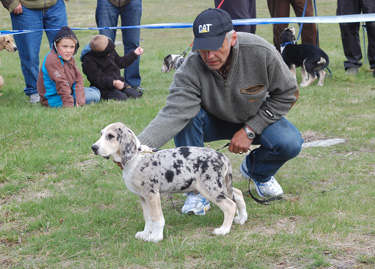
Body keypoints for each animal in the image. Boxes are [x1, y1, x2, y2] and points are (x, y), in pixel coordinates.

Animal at [92, 122, 250, 242]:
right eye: (101, 134)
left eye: (110, 136)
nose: (94, 148)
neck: (135, 157)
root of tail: (222, 156)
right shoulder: (143, 197)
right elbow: (147, 218)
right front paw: (145, 233)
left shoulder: (152, 195)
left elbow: (156, 218)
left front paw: (155, 237)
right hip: (222, 184)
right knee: (237, 194)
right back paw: (242, 218)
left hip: (210, 187)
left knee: (230, 205)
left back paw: (224, 229)